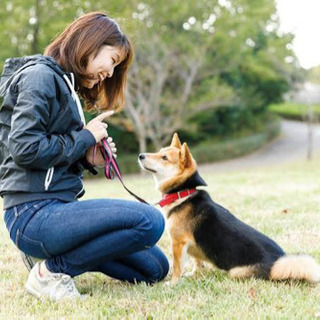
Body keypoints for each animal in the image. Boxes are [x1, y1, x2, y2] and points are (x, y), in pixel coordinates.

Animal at [138, 134, 320, 284]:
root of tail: (275, 263)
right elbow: (197, 262)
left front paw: (174, 283)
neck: (183, 193)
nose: (140, 155)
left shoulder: (178, 242)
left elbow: (177, 267)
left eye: (164, 157)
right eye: (159, 151)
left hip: (236, 272)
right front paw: (195, 274)